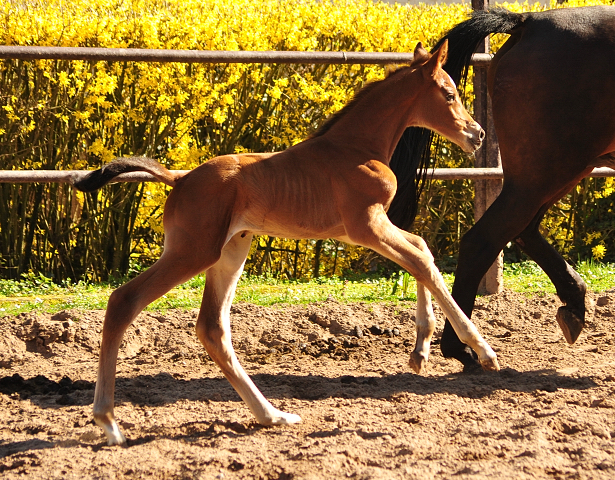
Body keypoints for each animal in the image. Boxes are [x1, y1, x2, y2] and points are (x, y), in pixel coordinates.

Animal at [76, 42, 500, 446]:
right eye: (449, 94)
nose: (477, 134)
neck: (356, 148)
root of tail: (179, 179)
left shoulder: (362, 229)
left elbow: (422, 251)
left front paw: (421, 350)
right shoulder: (367, 226)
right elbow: (423, 261)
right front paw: (481, 350)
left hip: (231, 251)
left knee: (212, 327)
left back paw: (272, 415)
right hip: (193, 252)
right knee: (124, 301)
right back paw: (108, 422)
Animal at [390, 5, 615, 370]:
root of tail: (530, 22)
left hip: (552, 173)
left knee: (521, 231)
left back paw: (574, 306)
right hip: (546, 172)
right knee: (483, 240)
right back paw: (464, 349)